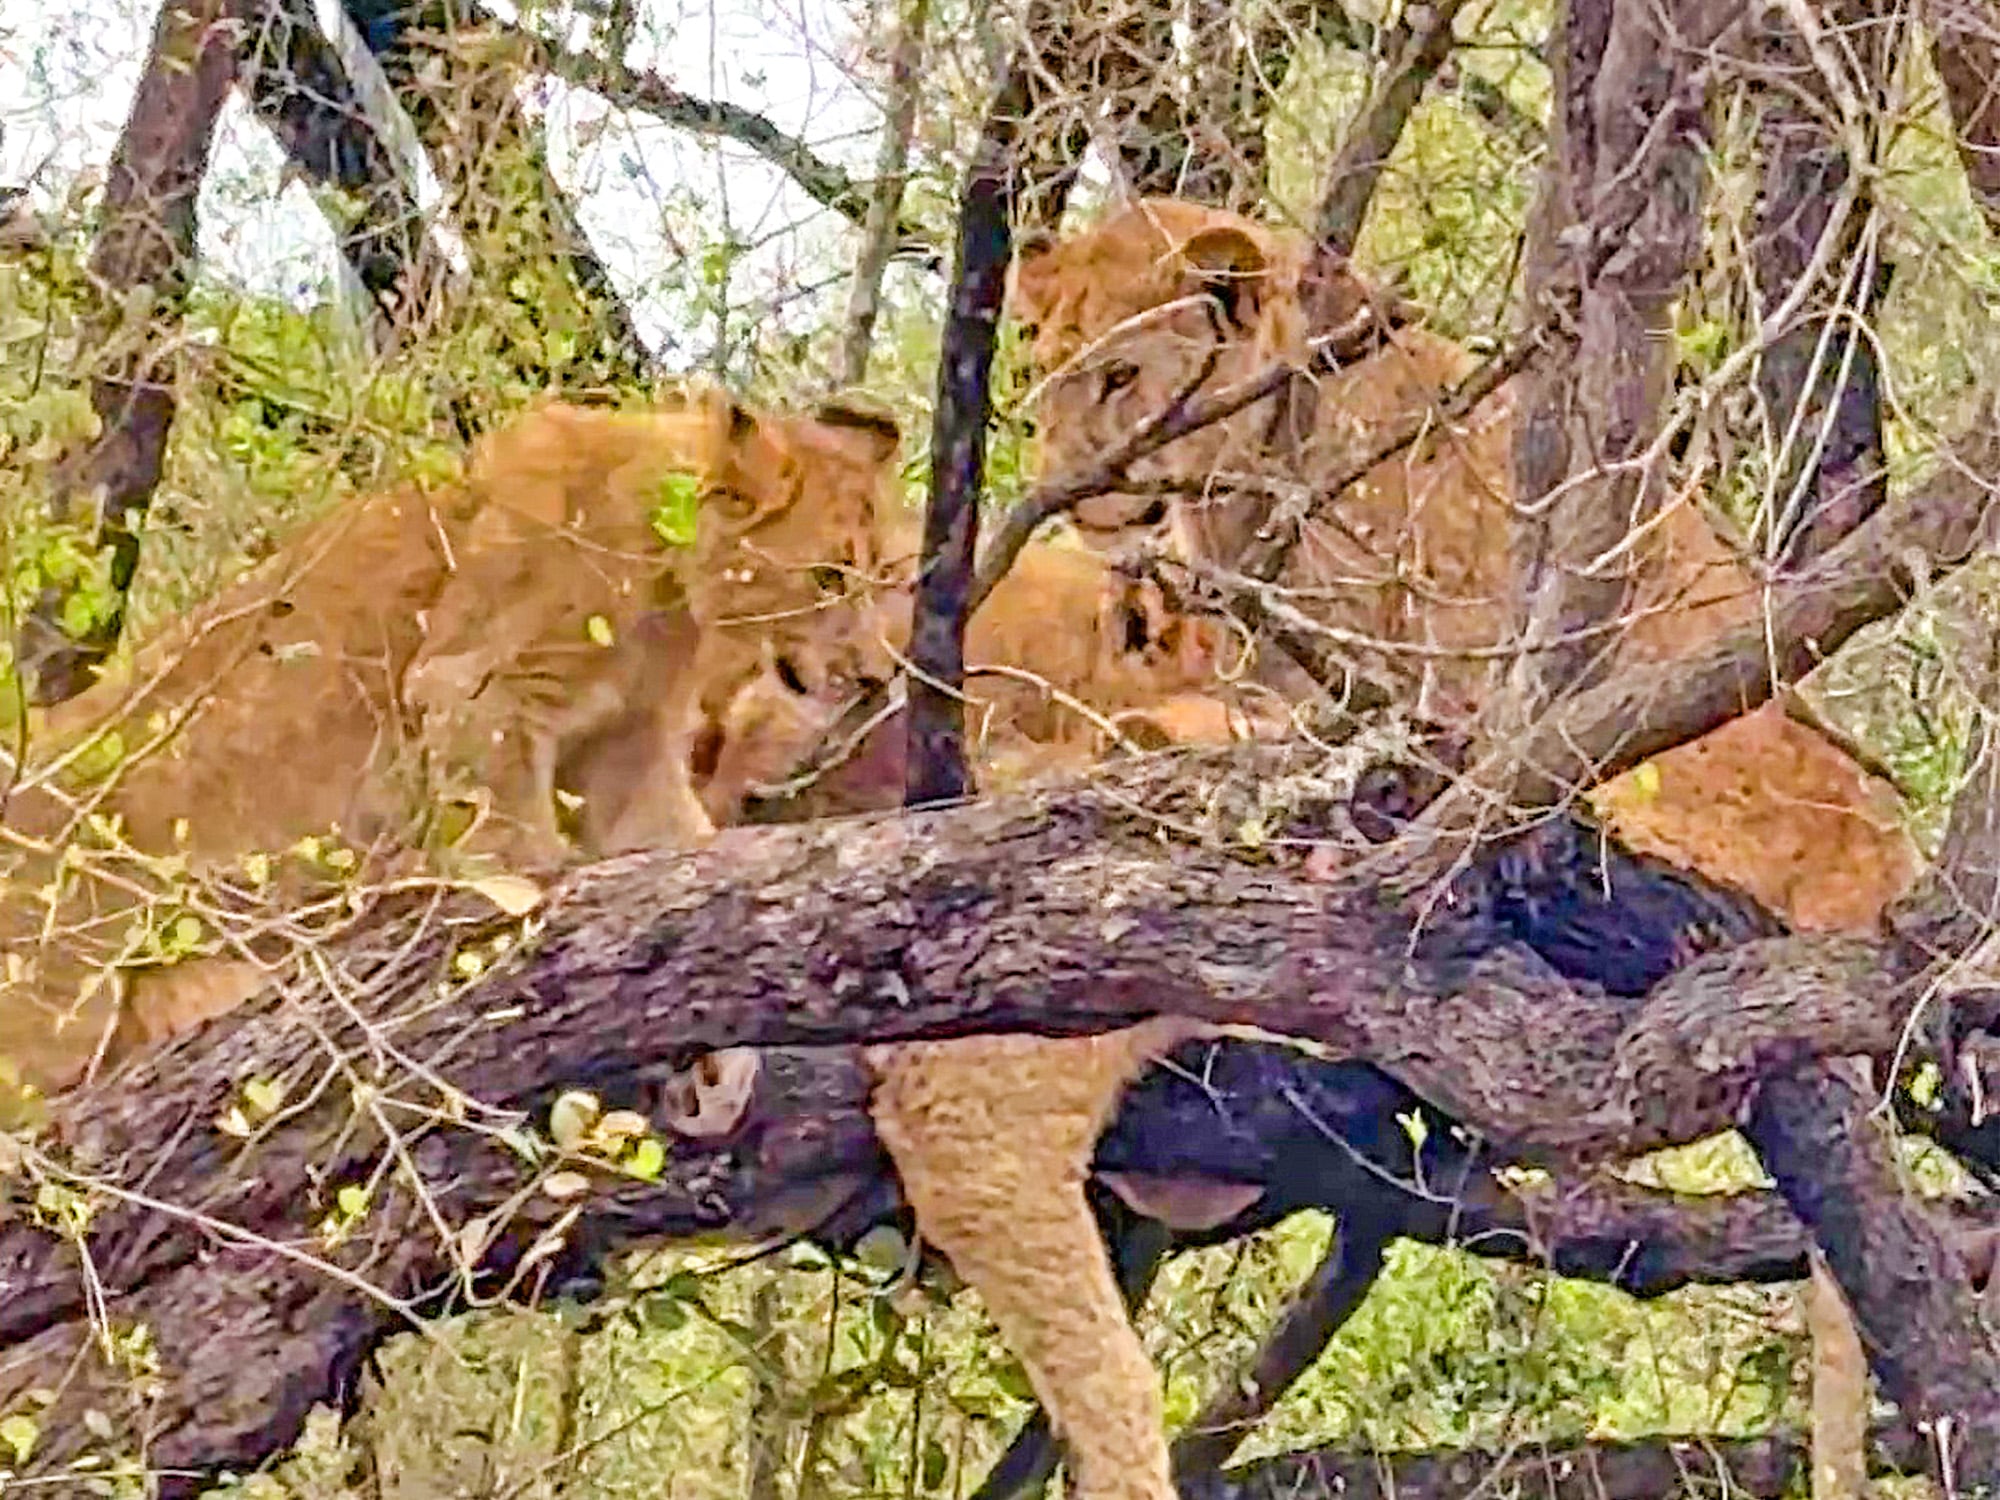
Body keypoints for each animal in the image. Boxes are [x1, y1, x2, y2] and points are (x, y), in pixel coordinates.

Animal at [0, 386, 902, 1106]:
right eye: (829, 577)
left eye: (889, 573)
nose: (875, 676)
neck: (667, 588)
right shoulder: (475, 689)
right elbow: (520, 848)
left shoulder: (627, 752)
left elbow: (683, 856)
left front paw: (722, 1071)